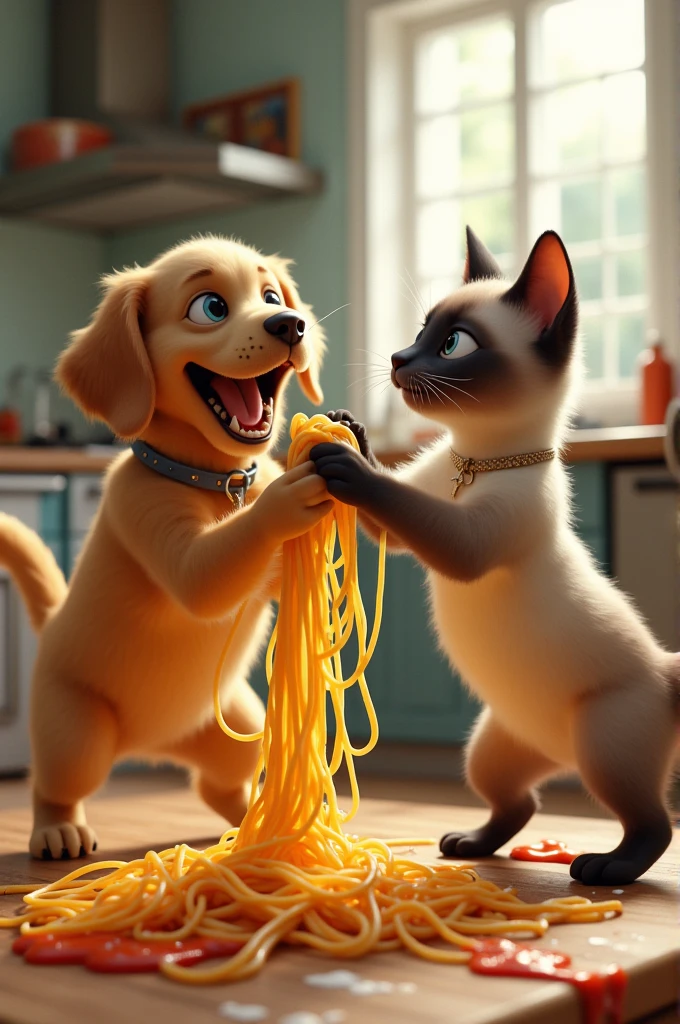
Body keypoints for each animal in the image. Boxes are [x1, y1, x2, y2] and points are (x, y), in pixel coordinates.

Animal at [0, 235, 331, 860]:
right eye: (211, 308)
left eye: (272, 296)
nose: (290, 324)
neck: (217, 480)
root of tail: (152, 745)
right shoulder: (141, 510)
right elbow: (203, 577)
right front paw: (289, 494)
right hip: (74, 729)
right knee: (54, 784)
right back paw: (57, 830)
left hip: (239, 725)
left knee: (216, 783)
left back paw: (251, 819)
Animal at [311, 228, 675, 884]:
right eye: (422, 329)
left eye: (454, 344)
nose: (399, 358)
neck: (475, 463)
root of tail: (665, 670)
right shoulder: (420, 502)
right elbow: (394, 509)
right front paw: (347, 426)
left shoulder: (468, 540)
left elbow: (400, 502)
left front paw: (345, 462)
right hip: (491, 749)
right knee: (519, 803)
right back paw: (470, 843)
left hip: (607, 745)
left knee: (651, 823)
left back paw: (604, 867)